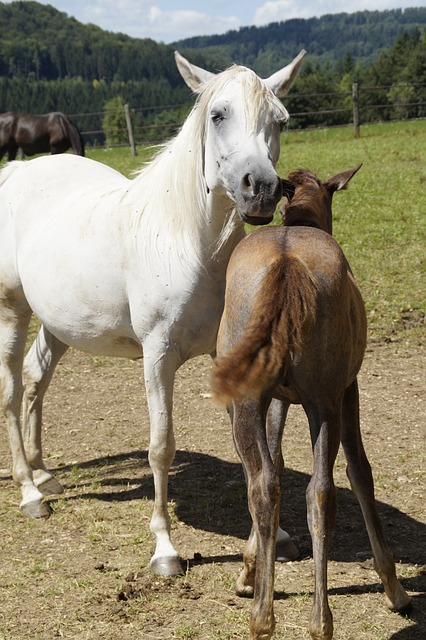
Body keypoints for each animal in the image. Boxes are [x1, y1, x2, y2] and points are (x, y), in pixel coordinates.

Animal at [0, 50, 306, 576]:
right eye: (217, 114)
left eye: (280, 121)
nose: (262, 190)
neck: (184, 242)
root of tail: (18, 173)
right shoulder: (157, 356)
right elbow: (161, 447)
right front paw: (165, 549)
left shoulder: (225, 355)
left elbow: (248, 445)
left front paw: (276, 536)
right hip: (13, 310)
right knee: (13, 392)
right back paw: (29, 493)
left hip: (60, 323)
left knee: (37, 377)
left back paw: (44, 475)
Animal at [211, 166, 412, 640]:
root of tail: (287, 266)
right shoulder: (349, 388)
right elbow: (361, 472)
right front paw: (395, 589)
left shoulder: (277, 398)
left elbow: (276, 462)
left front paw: (248, 575)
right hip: (326, 398)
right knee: (322, 491)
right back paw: (321, 620)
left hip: (247, 400)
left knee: (263, 484)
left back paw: (262, 619)